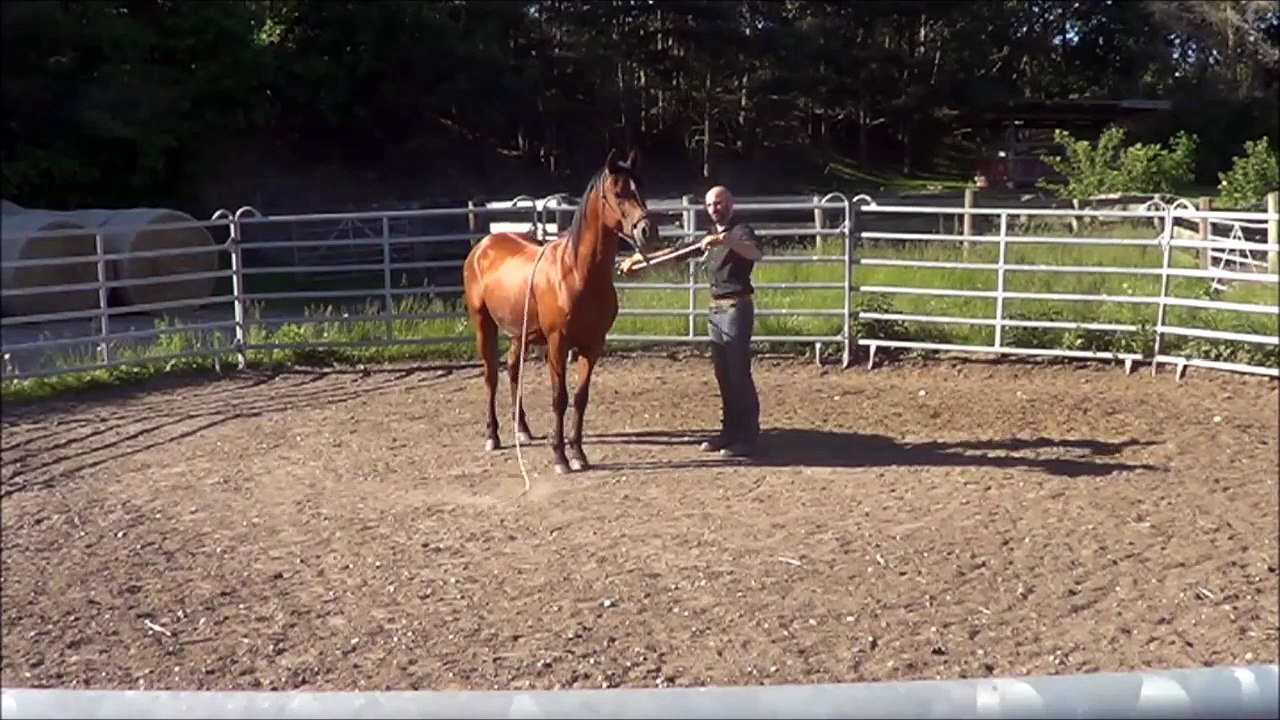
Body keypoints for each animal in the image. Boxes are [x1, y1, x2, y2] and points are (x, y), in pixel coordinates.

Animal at [462, 148, 658, 475]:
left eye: (642, 188)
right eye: (618, 193)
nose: (647, 230)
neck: (577, 272)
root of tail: (483, 245)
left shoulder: (593, 346)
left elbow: (580, 398)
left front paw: (578, 453)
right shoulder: (557, 344)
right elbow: (559, 398)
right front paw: (560, 457)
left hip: (520, 333)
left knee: (513, 369)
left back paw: (522, 430)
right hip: (483, 323)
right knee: (491, 376)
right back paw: (493, 436)